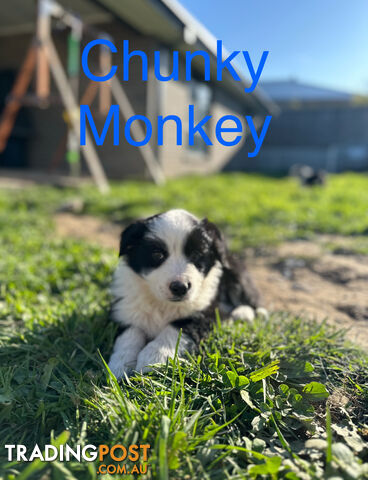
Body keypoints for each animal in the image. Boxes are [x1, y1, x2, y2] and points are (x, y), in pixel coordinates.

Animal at [108, 210, 266, 378]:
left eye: (196, 254)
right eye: (158, 255)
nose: (180, 287)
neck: (163, 303)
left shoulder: (205, 311)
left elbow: (178, 327)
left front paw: (154, 356)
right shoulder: (125, 309)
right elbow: (129, 334)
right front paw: (120, 364)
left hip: (236, 272)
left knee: (252, 301)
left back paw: (243, 313)